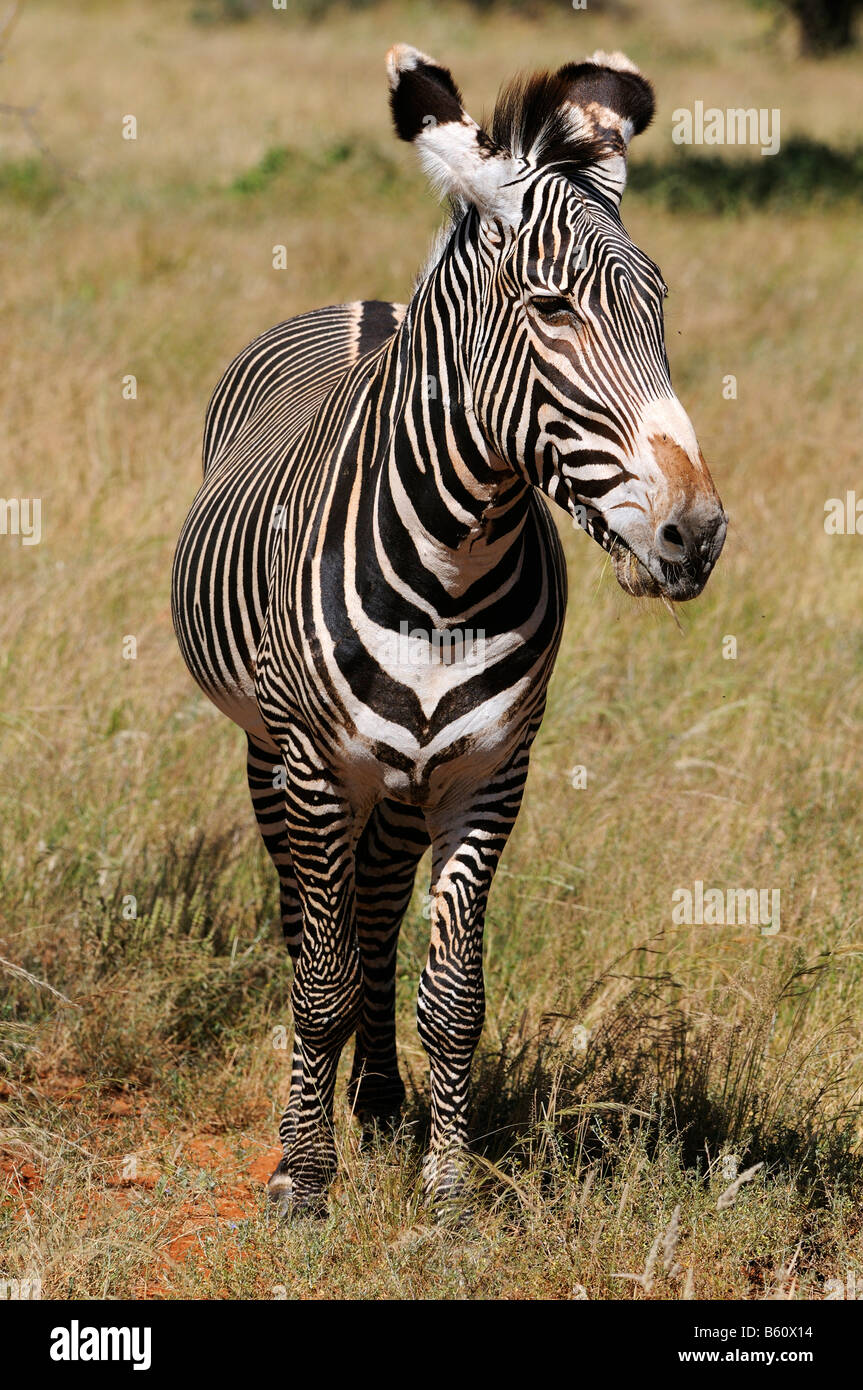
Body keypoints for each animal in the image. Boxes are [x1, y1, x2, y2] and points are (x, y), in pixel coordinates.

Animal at [171, 46, 722, 1217]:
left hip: (402, 781)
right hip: (271, 752)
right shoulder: (317, 764)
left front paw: (446, 1191)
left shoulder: (488, 769)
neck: (448, 571)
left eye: (657, 307)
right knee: (308, 921)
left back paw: (379, 1101)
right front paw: (303, 1179)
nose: (695, 534)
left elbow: (453, 993)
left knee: (377, 910)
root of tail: (365, 304)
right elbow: (320, 976)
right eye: (550, 307)